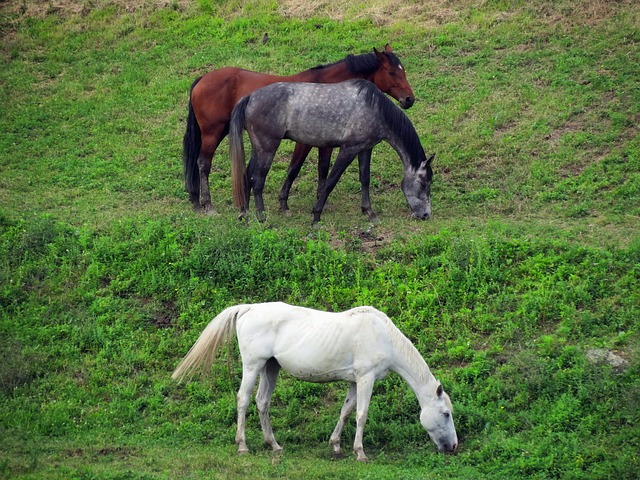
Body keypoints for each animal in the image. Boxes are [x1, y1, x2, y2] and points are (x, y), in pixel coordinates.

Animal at [172, 300, 458, 462]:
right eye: (445, 414)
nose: (453, 447)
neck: (382, 335)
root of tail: (248, 308)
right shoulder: (366, 379)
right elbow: (361, 415)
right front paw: (360, 452)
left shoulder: (354, 382)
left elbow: (345, 412)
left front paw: (337, 447)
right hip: (253, 365)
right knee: (243, 400)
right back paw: (242, 446)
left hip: (270, 368)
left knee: (262, 402)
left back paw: (274, 445)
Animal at [182, 44, 418, 213]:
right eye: (392, 72)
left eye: (404, 71)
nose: (409, 99)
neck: (327, 86)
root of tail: (203, 78)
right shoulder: (306, 142)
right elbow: (296, 168)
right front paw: (285, 202)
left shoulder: (325, 143)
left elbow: (322, 168)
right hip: (212, 133)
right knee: (203, 164)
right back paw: (207, 203)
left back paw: (198, 201)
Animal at [230, 79, 436, 224]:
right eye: (423, 183)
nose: (426, 215)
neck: (374, 107)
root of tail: (249, 98)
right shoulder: (348, 150)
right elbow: (331, 181)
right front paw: (316, 216)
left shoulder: (365, 149)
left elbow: (365, 179)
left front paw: (369, 212)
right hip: (267, 147)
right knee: (258, 180)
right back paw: (261, 217)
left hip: (258, 148)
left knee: (247, 176)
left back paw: (244, 214)